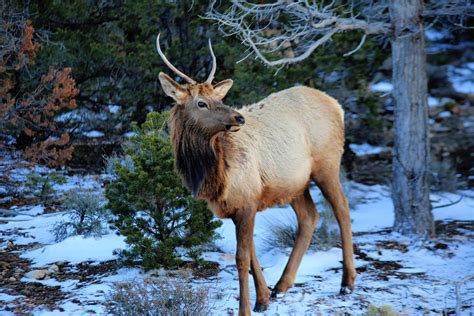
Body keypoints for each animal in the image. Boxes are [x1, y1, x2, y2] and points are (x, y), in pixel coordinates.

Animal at [156, 33, 356, 314]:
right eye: (202, 103)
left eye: (220, 99)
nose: (238, 118)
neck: (213, 176)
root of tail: (337, 105)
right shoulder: (238, 205)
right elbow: (251, 255)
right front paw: (262, 298)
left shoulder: (247, 201)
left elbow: (242, 259)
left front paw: (246, 308)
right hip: (294, 183)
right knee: (310, 216)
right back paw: (281, 285)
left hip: (327, 163)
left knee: (342, 210)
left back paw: (347, 282)